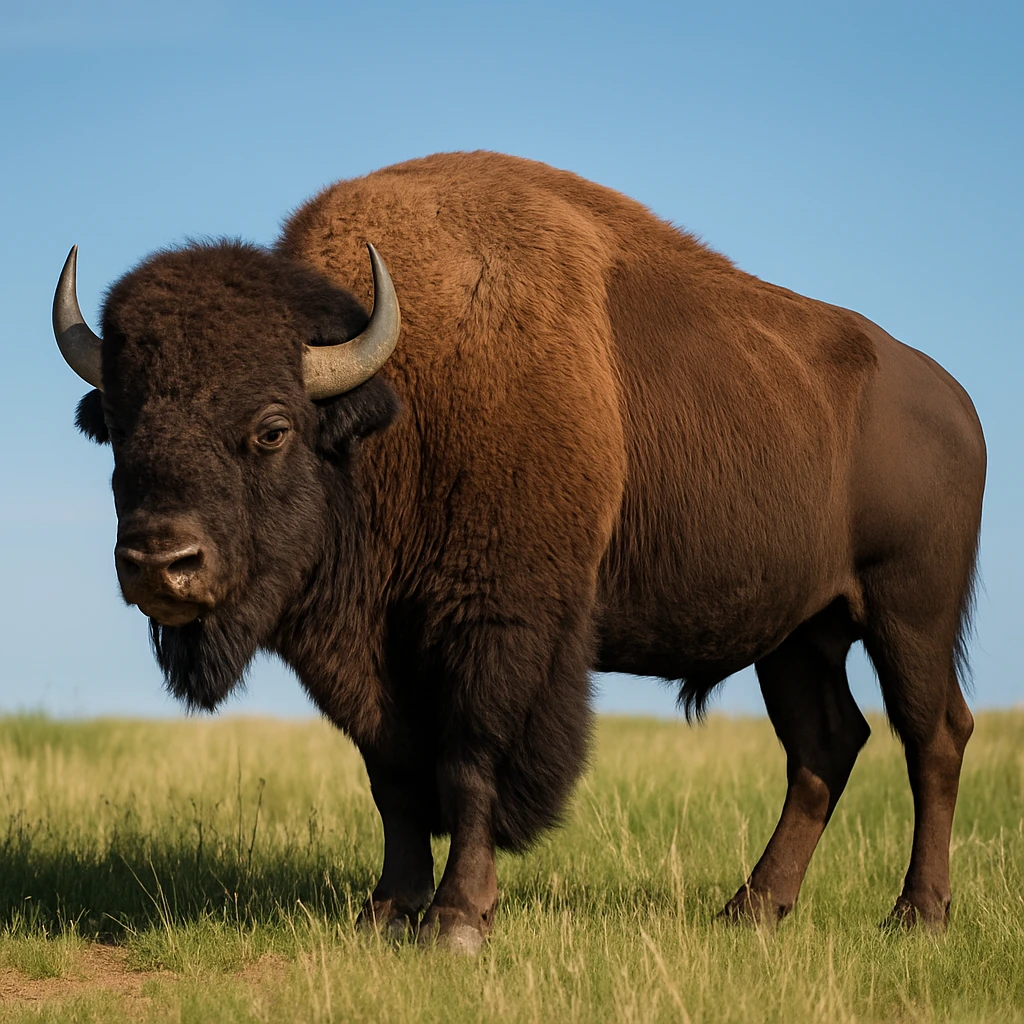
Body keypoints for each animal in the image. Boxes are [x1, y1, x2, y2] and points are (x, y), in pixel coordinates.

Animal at [53, 152, 985, 952]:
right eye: (118, 427)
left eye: (272, 428)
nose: (159, 562)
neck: (395, 408)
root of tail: (953, 399)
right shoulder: (370, 659)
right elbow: (392, 777)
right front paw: (385, 912)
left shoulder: (497, 628)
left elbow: (472, 763)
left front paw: (458, 921)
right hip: (796, 637)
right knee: (824, 747)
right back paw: (751, 910)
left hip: (909, 614)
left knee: (932, 736)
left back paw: (917, 917)